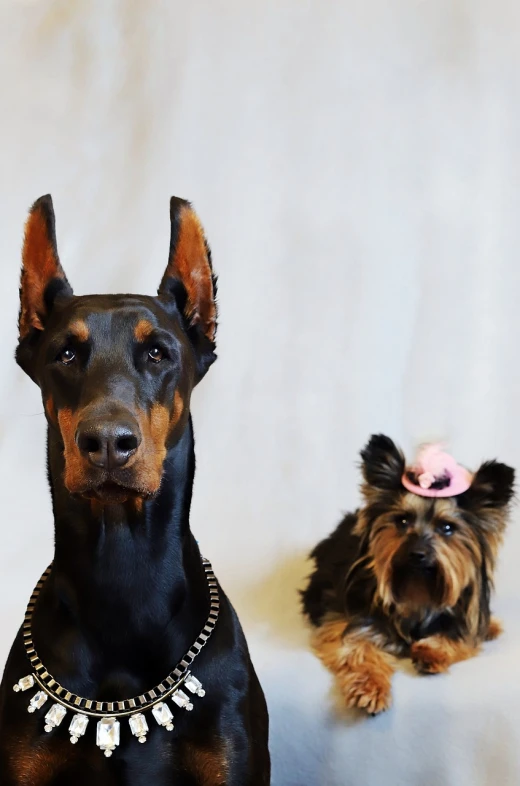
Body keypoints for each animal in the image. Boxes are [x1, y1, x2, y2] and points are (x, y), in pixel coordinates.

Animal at [302, 432, 512, 712]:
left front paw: (430, 652)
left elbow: (461, 637)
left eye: (447, 528)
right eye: (402, 521)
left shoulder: (466, 617)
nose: (417, 553)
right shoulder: (348, 620)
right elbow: (358, 649)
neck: (417, 589)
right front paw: (370, 689)